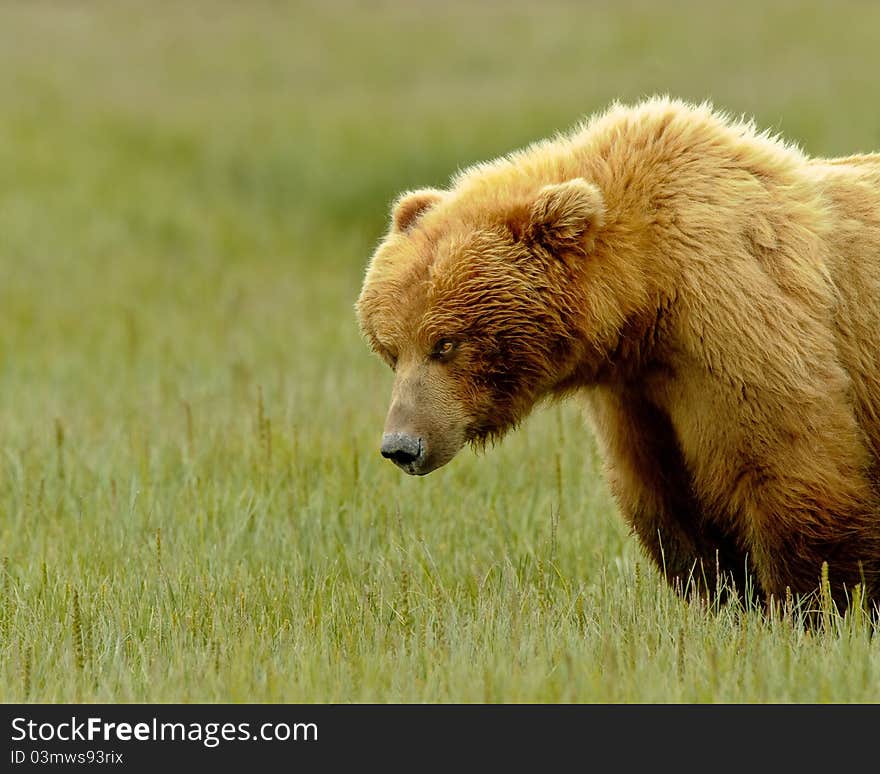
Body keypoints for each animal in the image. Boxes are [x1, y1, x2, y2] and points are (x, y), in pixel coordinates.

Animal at [352, 97, 880, 612]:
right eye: (391, 350)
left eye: (445, 343)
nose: (402, 445)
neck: (649, 290)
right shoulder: (636, 393)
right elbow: (670, 503)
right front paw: (726, 597)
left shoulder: (739, 322)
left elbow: (790, 469)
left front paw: (821, 604)